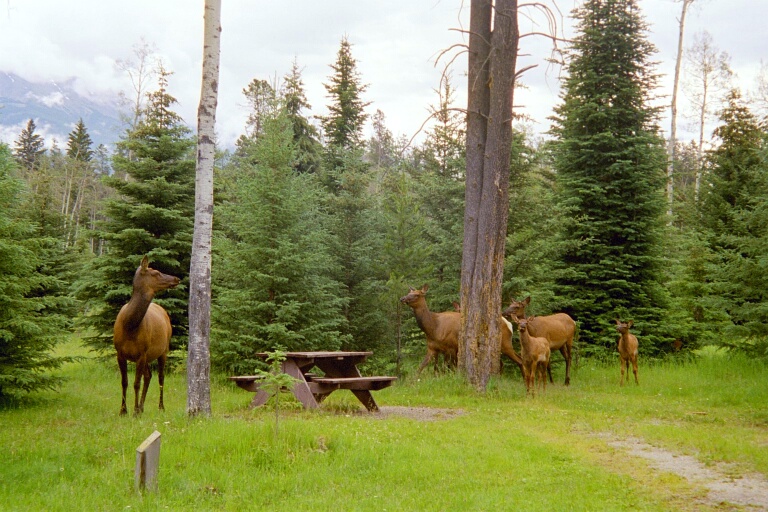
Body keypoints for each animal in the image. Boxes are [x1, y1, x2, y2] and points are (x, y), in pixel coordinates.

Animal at [113, 255, 180, 416]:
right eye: (156, 272)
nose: (177, 278)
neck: (130, 326)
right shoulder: (120, 353)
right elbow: (124, 382)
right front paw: (123, 410)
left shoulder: (141, 354)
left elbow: (136, 383)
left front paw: (134, 410)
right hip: (149, 355)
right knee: (149, 376)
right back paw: (142, 407)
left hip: (163, 350)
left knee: (160, 377)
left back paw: (160, 406)